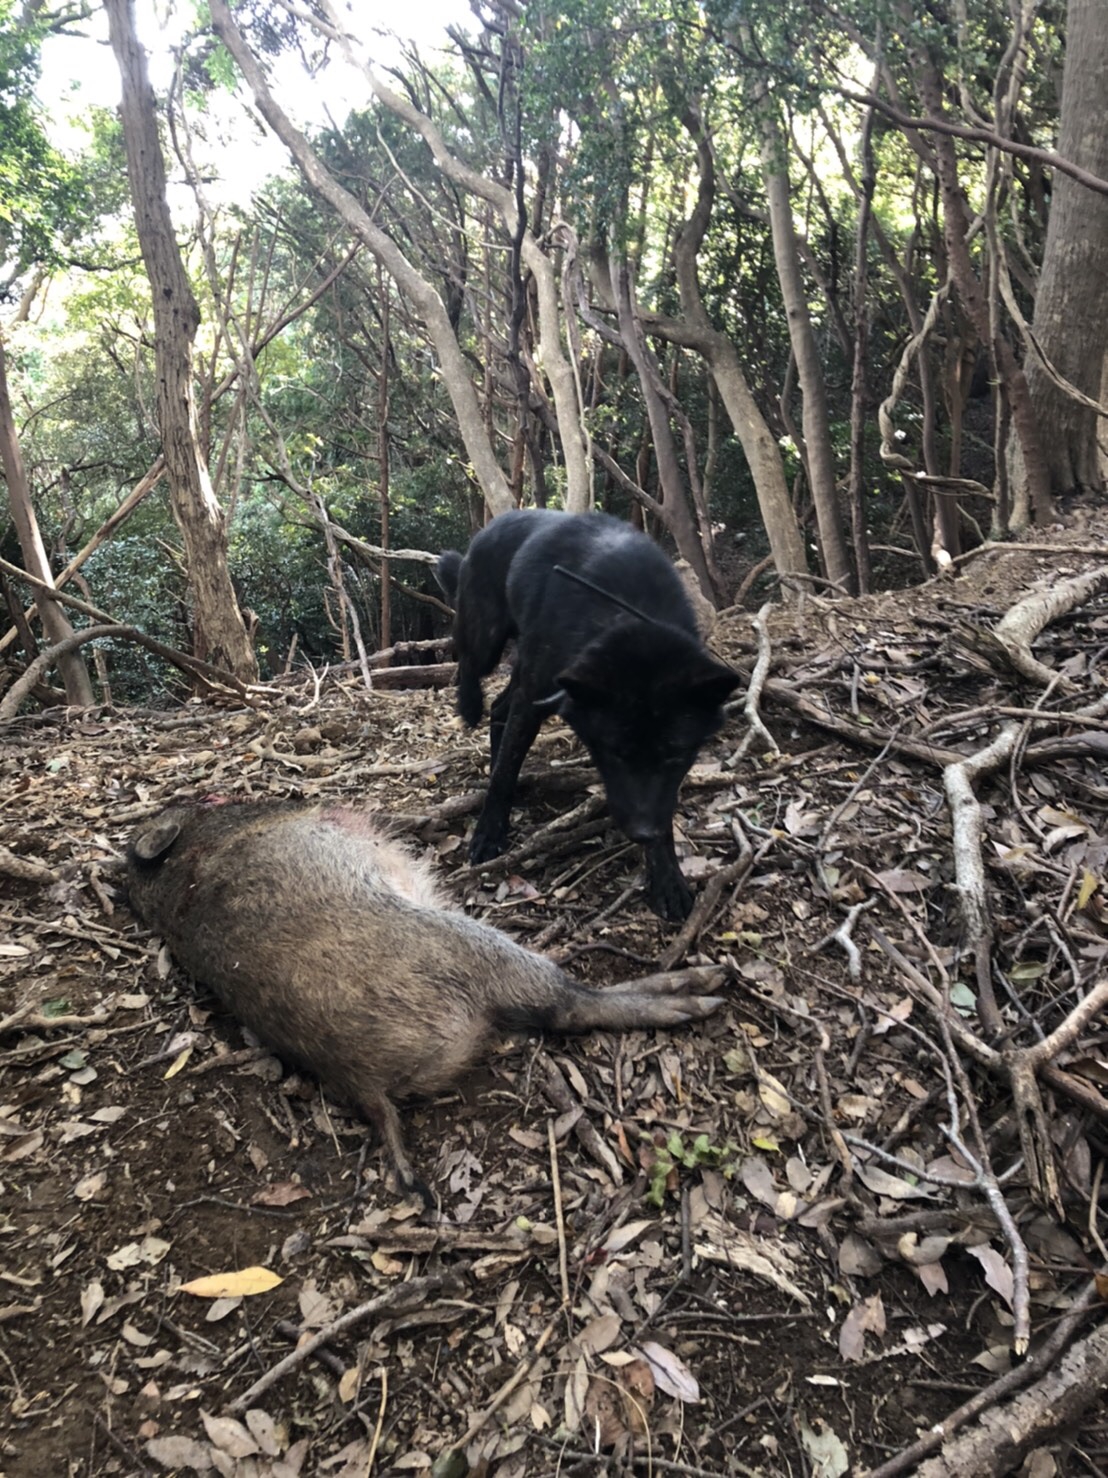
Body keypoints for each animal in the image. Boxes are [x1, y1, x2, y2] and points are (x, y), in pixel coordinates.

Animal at [437, 514, 741, 916]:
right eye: (614, 752)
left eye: (676, 755)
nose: (642, 832)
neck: (624, 611)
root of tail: (490, 527)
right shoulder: (534, 698)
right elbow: (505, 773)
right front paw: (488, 832)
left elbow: (665, 807)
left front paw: (667, 877)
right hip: (488, 638)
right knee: (469, 663)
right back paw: (469, 704)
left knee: (500, 709)